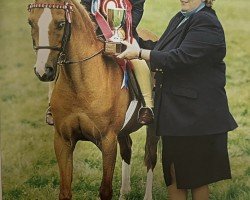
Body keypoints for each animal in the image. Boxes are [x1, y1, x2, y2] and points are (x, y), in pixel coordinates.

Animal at [27, 0, 159, 199]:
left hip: (153, 126)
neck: (79, 85)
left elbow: (105, 190)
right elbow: (65, 191)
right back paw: (124, 192)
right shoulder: (62, 140)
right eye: (30, 23)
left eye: (61, 23)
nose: (43, 71)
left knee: (150, 156)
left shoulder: (107, 141)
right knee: (127, 149)